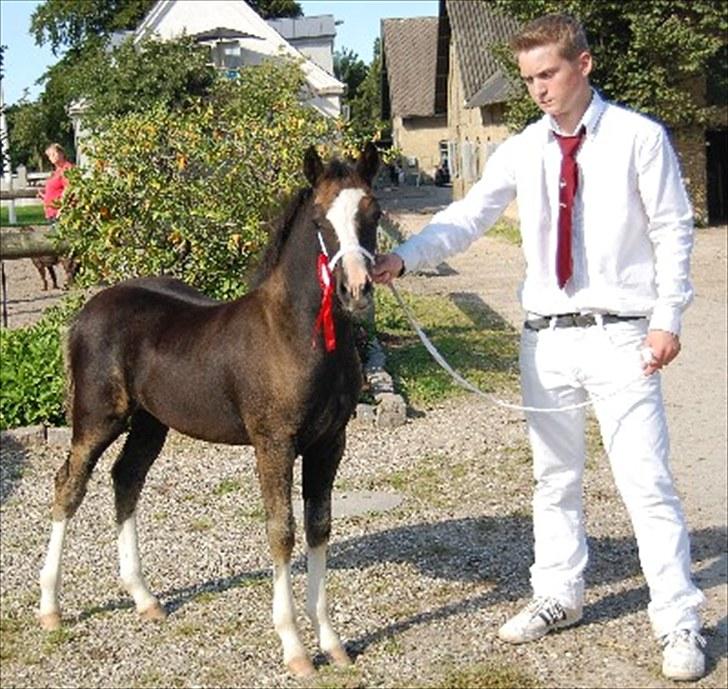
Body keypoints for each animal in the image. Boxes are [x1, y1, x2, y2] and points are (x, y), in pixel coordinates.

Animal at [38, 143, 381, 677]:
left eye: (373, 213)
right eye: (320, 220)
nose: (356, 289)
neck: (294, 334)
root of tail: (84, 312)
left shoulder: (330, 442)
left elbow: (319, 526)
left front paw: (332, 641)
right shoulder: (273, 443)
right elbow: (282, 530)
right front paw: (295, 649)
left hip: (151, 423)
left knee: (126, 478)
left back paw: (144, 598)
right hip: (97, 418)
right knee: (69, 485)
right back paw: (50, 606)